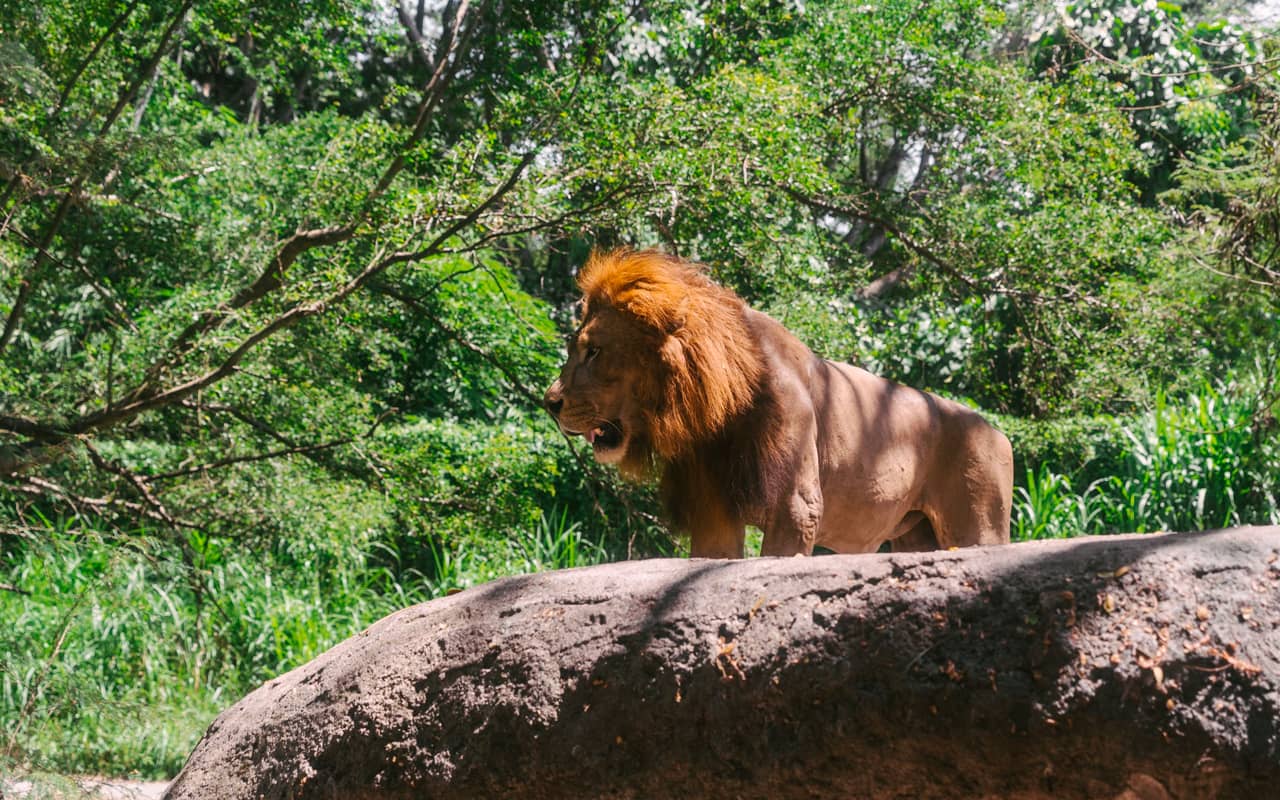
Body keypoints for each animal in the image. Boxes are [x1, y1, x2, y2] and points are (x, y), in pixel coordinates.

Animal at [543, 249, 1013, 558]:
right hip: (916, 536)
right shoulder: (714, 508)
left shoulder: (796, 507)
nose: (550, 402)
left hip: (978, 525)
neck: (719, 414)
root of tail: (997, 431)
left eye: (593, 352)